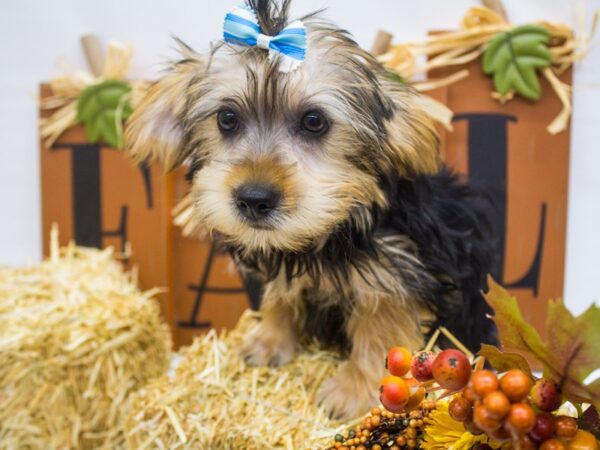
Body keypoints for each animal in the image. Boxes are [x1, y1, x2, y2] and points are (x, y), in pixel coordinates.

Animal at [124, 0, 494, 420]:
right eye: (227, 119)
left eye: (314, 121)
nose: (254, 198)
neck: (328, 233)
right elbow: (279, 296)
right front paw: (270, 341)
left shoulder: (397, 274)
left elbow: (380, 328)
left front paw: (354, 390)